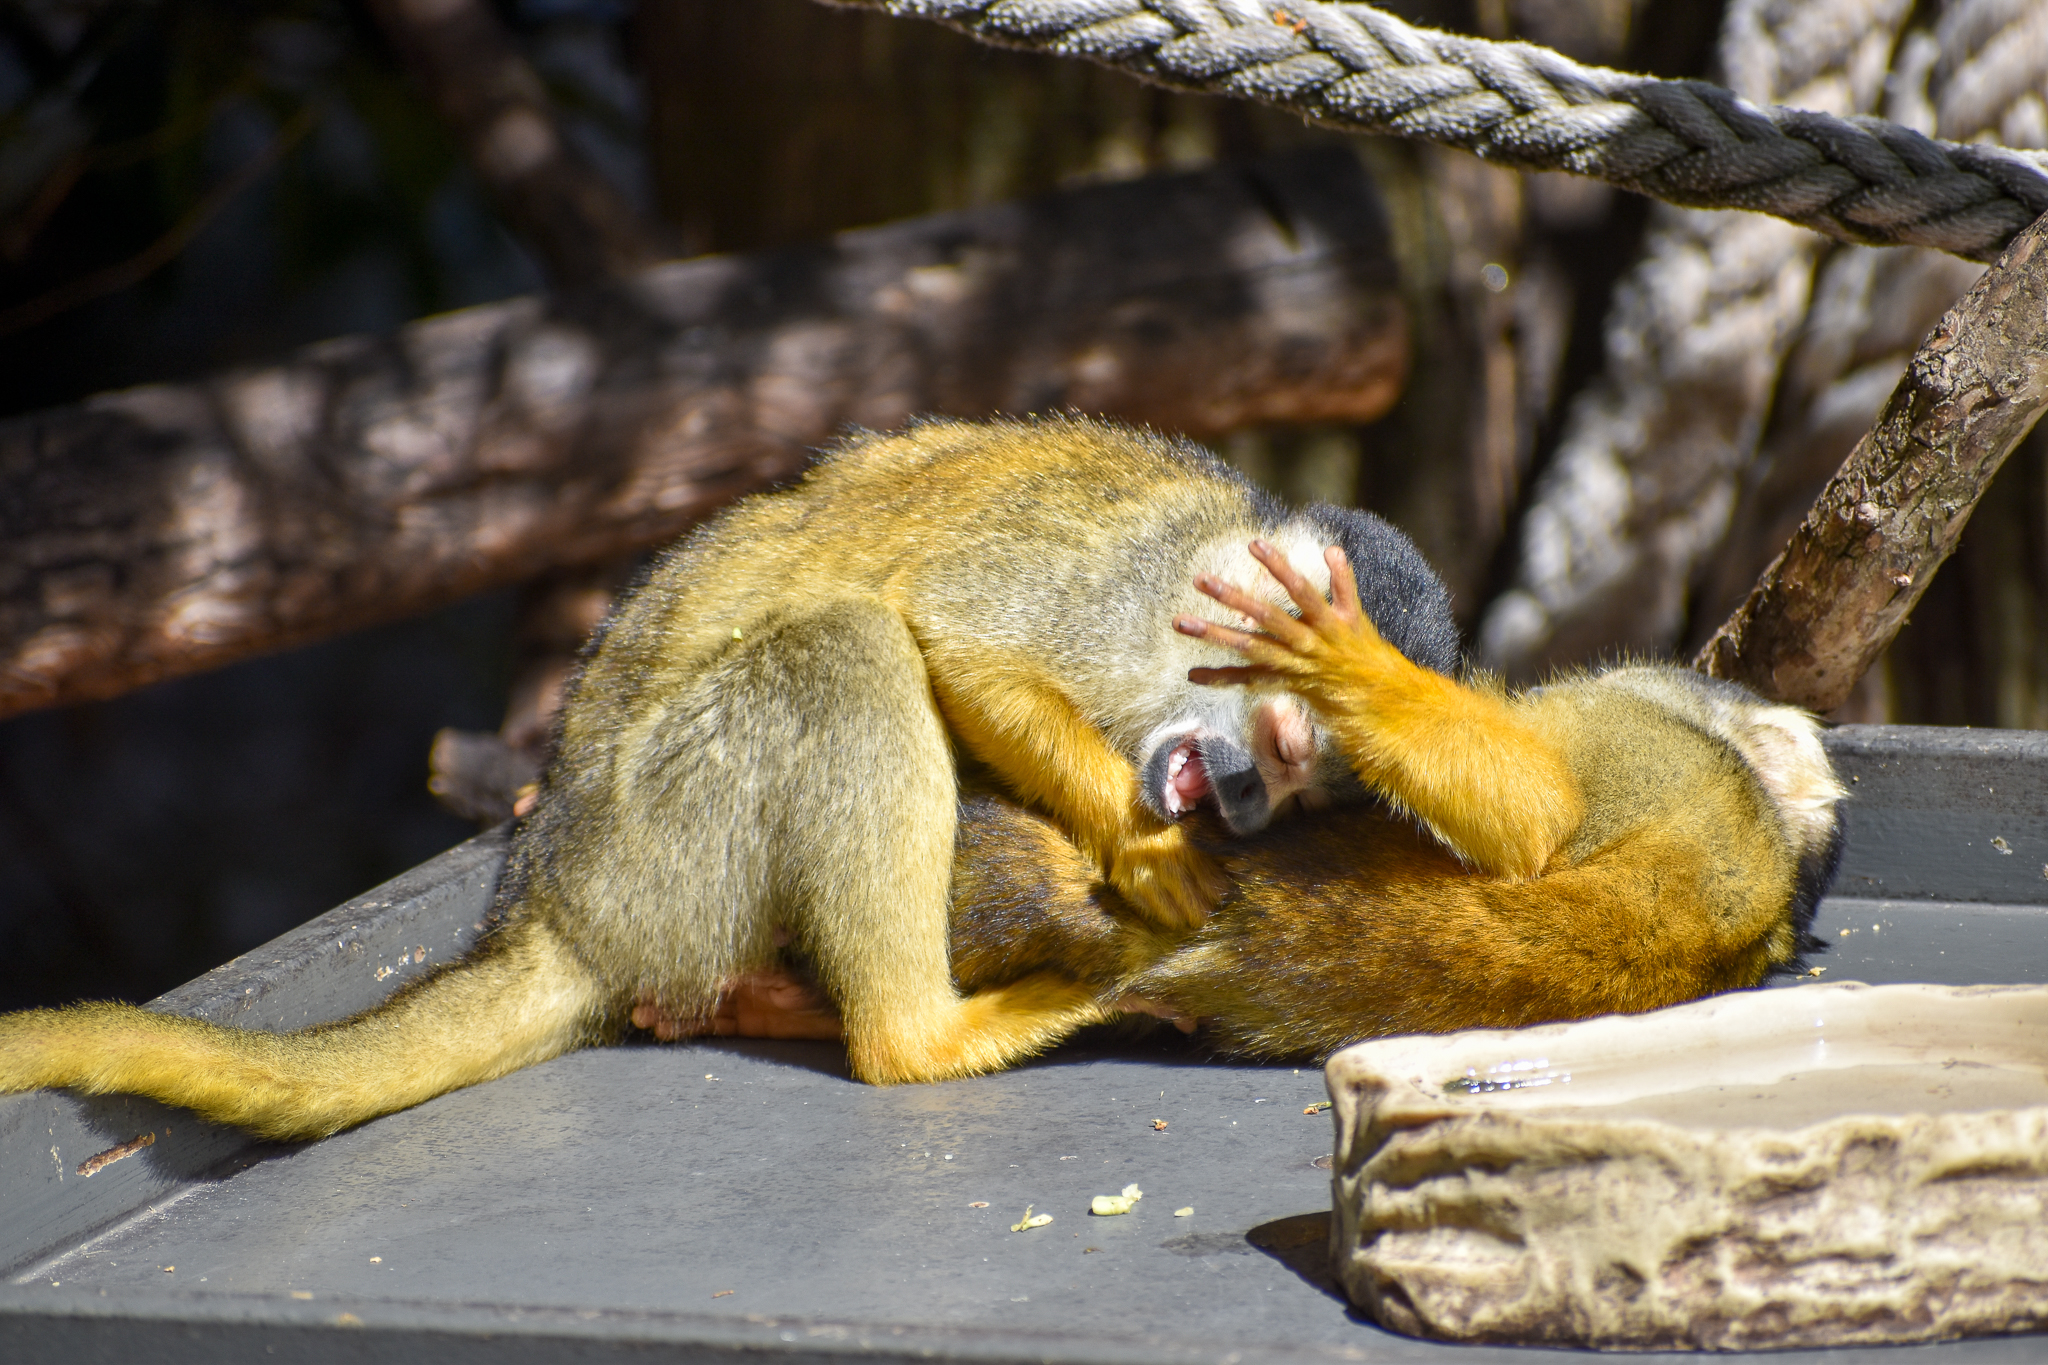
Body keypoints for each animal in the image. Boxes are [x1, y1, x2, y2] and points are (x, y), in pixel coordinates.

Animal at [0, 511, 1845, 1139]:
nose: (1241, 789)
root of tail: (576, 915)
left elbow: (1538, 812)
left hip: (677, 848)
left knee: (837, 656)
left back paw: (908, 1033)